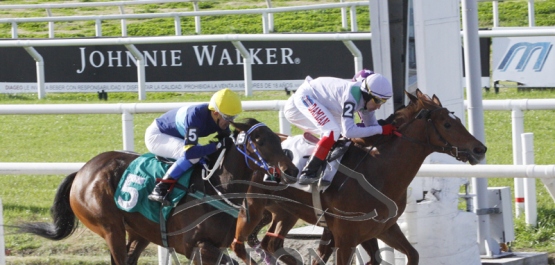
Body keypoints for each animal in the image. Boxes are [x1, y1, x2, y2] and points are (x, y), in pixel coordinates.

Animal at [13, 118, 300, 264]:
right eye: (260, 141)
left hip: (140, 231)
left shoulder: (217, 248)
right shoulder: (199, 248)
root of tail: (82, 171)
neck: (217, 187)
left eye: (278, 138)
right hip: (109, 226)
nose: (292, 169)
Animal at [230, 89, 486, 264]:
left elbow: (411, 254)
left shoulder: (383, 228)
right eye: (447, 124)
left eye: (457, 120)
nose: (479, 149)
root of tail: (246, 144)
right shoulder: (346, 236)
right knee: (239, 245)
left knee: (271, 243)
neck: (377, 171)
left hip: (284, 212)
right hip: (252, 207)